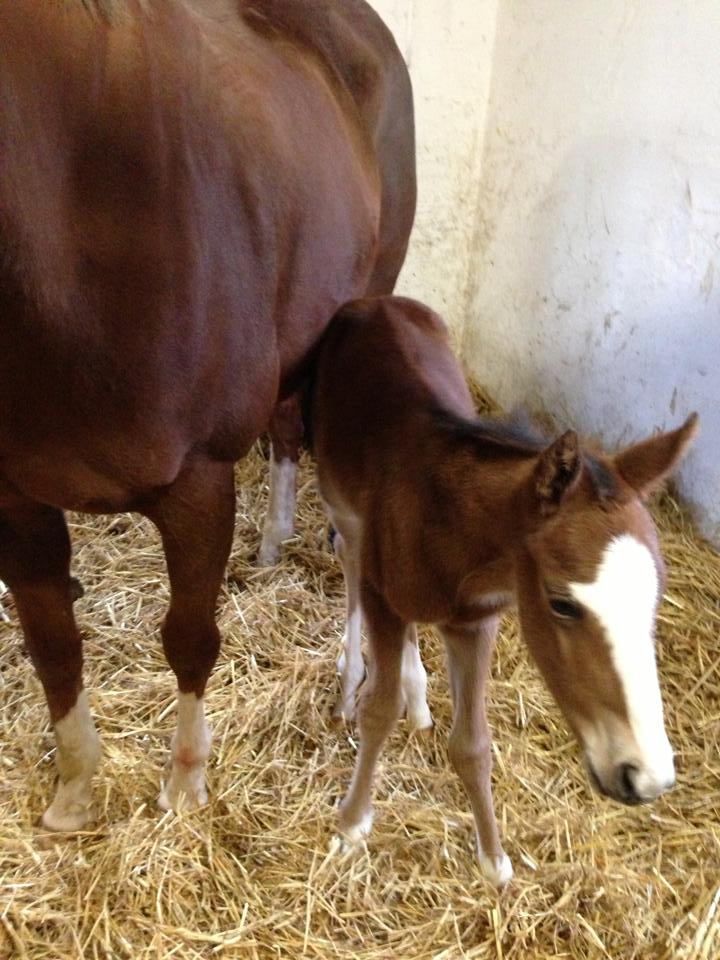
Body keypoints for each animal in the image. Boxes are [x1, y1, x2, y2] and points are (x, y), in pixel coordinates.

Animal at [310, 296, 696, 888]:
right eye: (562, 603)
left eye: (655, 601)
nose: (645, 776)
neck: (443, 522)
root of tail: (379, 300)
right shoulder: (382, 596)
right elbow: (379, 710)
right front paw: (352, 823)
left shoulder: (476, 622)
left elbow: (472, 743)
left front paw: (493, 859)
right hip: (340, 500)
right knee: (349, 560)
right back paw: (352, 678)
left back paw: (418, 692)